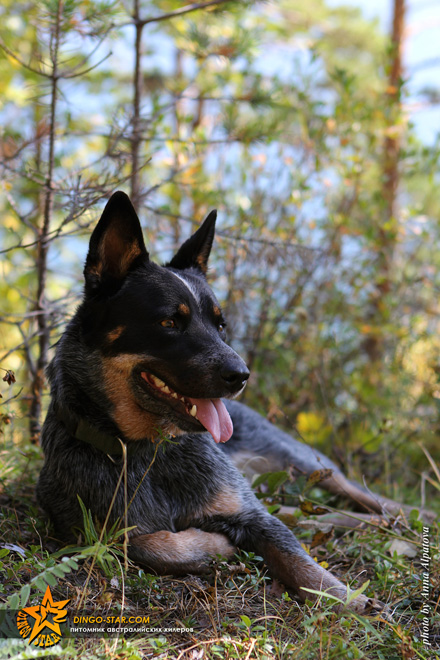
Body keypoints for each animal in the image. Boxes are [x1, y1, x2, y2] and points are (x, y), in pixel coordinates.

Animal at [37, 192, 382, 612]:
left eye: (220, 325)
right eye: (170, 322)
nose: (241, 374)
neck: (150, 455)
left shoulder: (251, 514)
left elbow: (297, 559)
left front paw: (348, 601)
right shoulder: (85, 529)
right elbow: (145, 543)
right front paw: (212, 544)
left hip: (304, 462)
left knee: (366, 500)